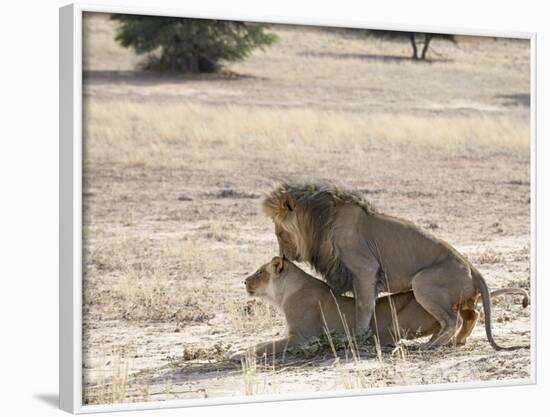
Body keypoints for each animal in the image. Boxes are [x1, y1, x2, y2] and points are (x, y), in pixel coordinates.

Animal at [230, 256, 532, 358]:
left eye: (260, 272)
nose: (244, 280)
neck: (285, 292)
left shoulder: (302, 336)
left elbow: (265, 345)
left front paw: (240, 353)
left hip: (415, 305)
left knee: (456, 317)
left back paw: (430, 344)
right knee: (471, 312)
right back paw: (454, 341)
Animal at [266, 184, 532, 350]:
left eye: (279, 232)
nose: (283, 256)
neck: (320, 222)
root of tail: (472, 267)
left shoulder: (365, 268)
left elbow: (363, 307)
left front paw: (358, 337)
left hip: (422, 282)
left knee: (452, 319)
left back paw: (429, 346)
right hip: (457, 295)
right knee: (471, 314)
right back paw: (455, 342)